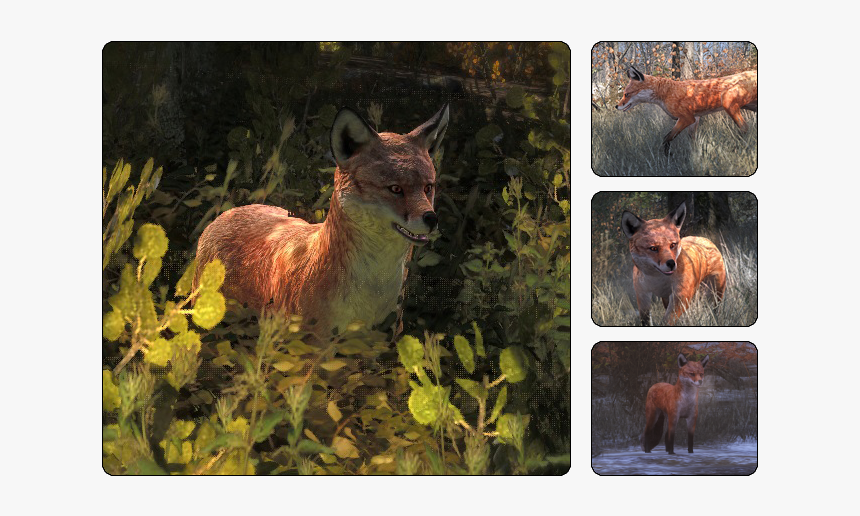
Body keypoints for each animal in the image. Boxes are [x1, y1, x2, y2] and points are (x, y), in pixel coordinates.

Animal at [616, 66, 757, 155]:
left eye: (626, 94)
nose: (616, 106)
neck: (667, 92)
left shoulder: (686, 118)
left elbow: (667, 138)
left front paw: (667, 156)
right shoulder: (695, 119)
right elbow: (692, 139)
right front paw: (695, 155)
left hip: (728, 103)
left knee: (744, 128)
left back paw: (738, 147)